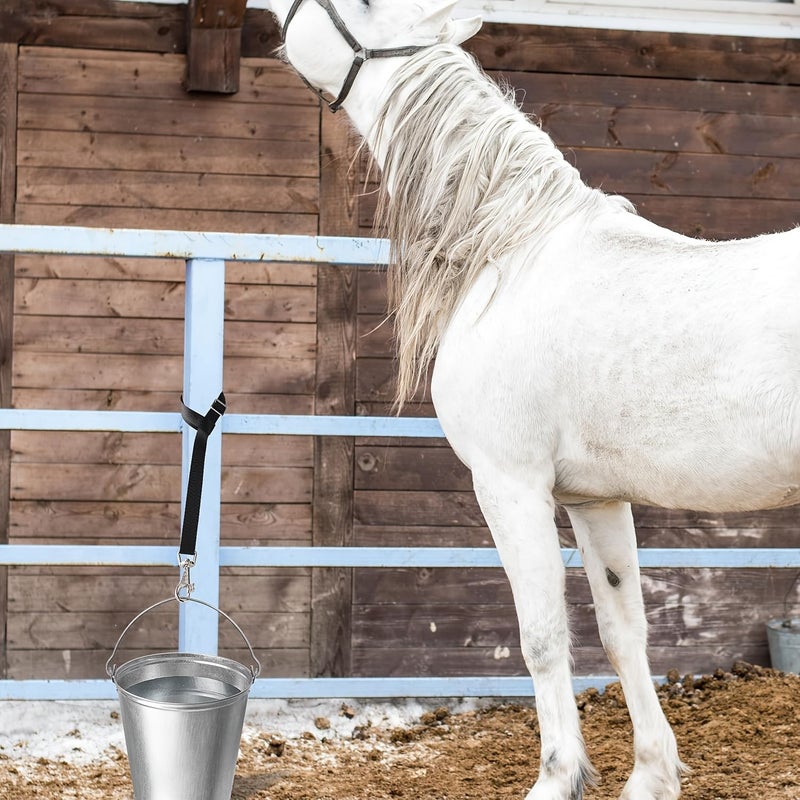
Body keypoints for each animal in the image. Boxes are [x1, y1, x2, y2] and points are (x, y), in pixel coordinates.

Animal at [265, 2, 800, 798]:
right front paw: (651, 774)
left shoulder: (509, 485)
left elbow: (543, 638)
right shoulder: (596, 498)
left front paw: (556, 778)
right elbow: (623, 631)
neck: (511, 246)